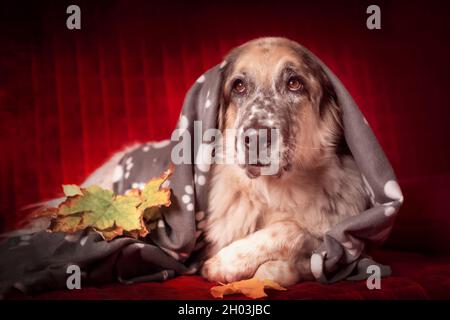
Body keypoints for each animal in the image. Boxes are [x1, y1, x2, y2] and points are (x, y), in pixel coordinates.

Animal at [199, 38, 368, 288]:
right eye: (239, 86)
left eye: (294, 83)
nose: (257, 138)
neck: (275, 192)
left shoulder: (343, 246)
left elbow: (292, 230)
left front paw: (233, 262)